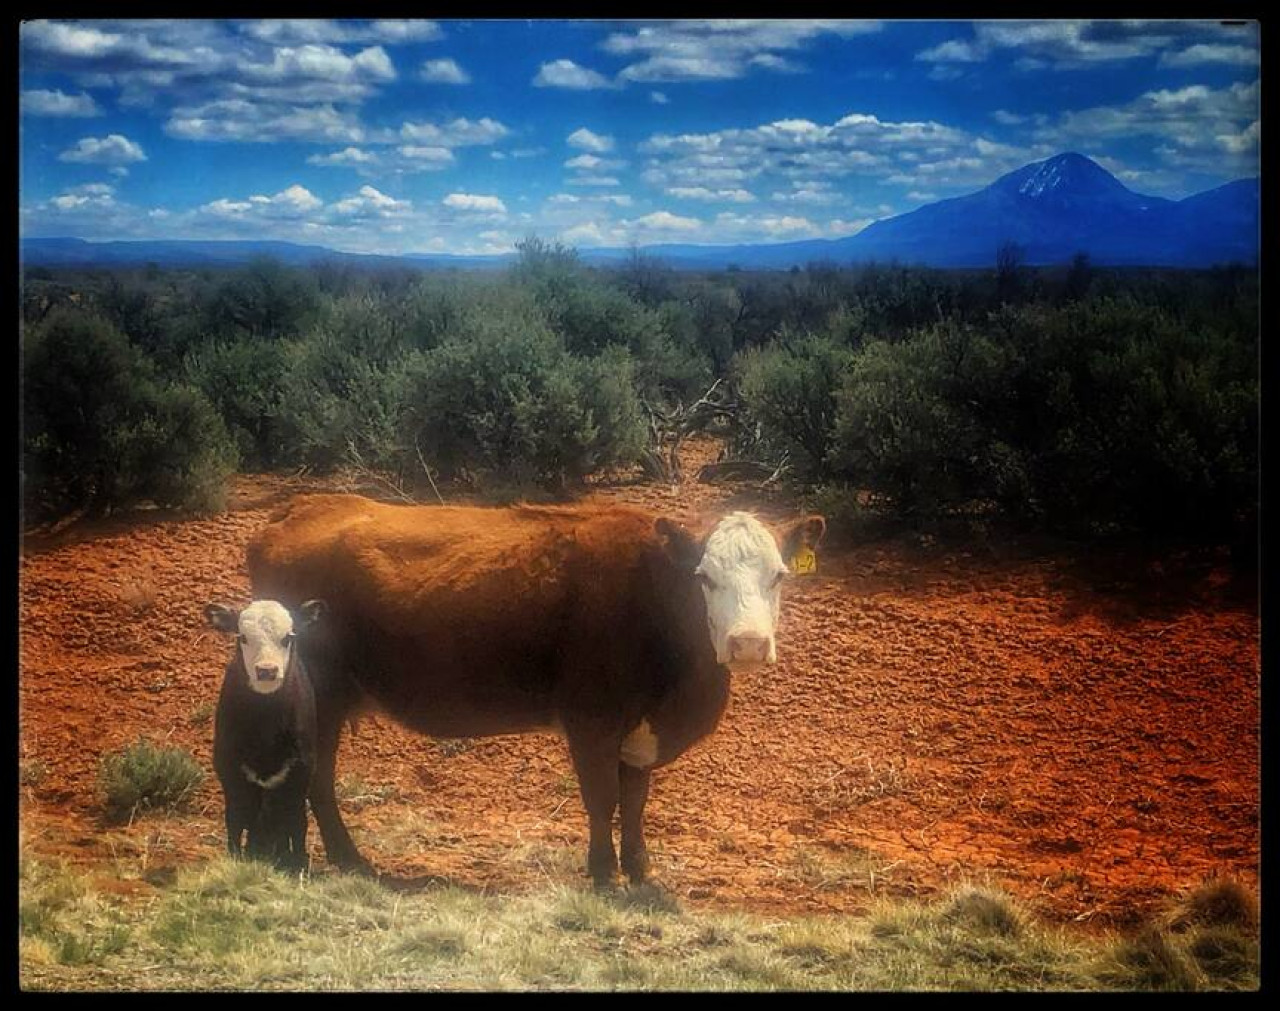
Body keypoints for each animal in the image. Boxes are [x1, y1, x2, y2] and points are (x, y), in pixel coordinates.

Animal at [205, 598, 326, 873]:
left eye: (288, 637)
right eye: (242, 637)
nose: (266, 671)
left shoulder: (302, 769)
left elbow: (296, 822)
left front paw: (298, 864)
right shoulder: (228, 768)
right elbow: (235, 819)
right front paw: (235, 858)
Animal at [246, 494, 825, 887]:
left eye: (778, 575)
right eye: (704, 576)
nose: (747, 643)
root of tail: (301, 508)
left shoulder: (637, 732)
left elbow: (635, 800)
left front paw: (639, 869)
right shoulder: (592, 719)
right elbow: (602, 798)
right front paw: (602, 872)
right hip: (321, 700)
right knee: (318, 779)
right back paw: (348, 858)